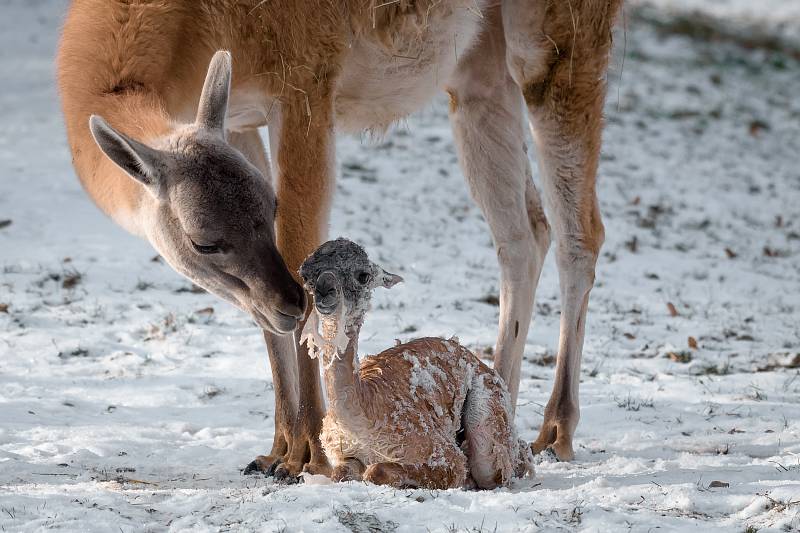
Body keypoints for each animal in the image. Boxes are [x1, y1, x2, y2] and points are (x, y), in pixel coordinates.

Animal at [300, 239, 532, 488]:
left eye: (362, 275)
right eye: (307, 274)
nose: (325, 291)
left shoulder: (443, 455)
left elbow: (377, 471)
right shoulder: (342, 453)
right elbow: (340, 472)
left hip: (488, 420)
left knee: (502, 463)